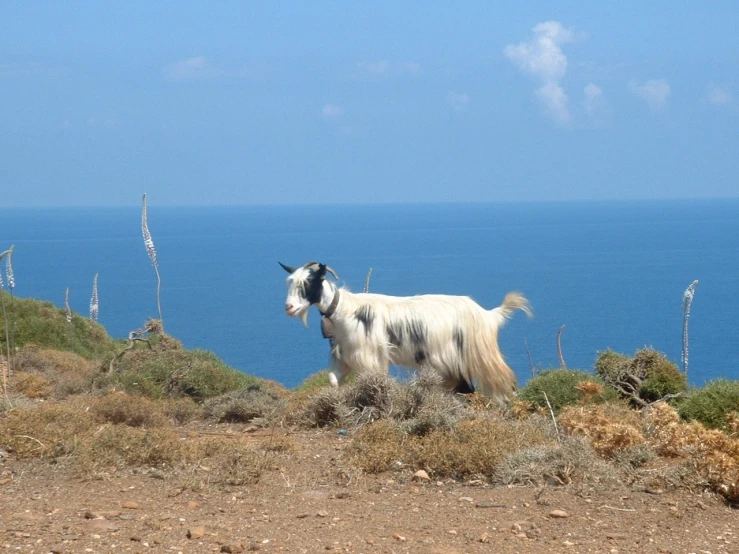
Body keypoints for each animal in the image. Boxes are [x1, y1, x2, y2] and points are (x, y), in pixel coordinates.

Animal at [278, 260, 532, 398]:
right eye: (290, 283)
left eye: (309, 283)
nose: (288, 307)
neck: (346, 310)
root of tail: (487, 315)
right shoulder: (345, 357)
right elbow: (332, 380)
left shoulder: (370, 358)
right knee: (465, 388)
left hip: (476, 356)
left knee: (498, 382)